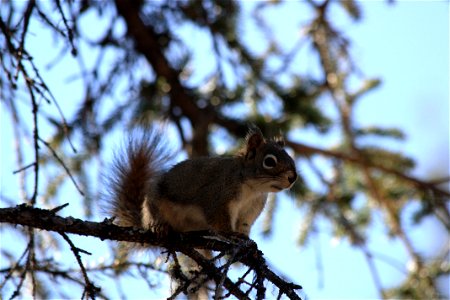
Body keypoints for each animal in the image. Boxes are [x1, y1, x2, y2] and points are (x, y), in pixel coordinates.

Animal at [107, 126, 298, 237]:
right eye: (269, 162)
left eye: (290, 157)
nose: (293, 177)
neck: (252, 190)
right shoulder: (218, 197)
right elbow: (220, 220)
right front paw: (230, 235)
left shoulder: (250, 211)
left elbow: (243, 226)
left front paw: (245, 239)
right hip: (154, 201)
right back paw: (159, 226)